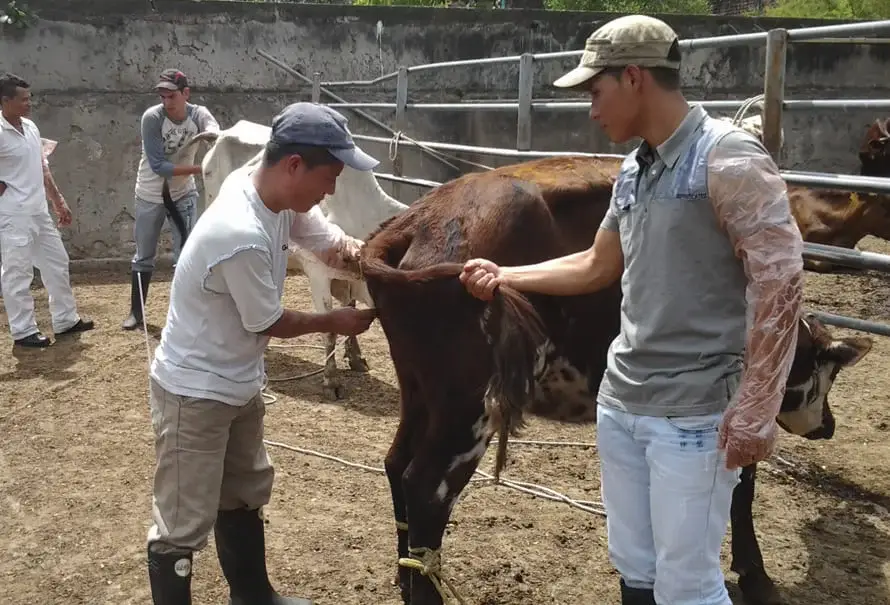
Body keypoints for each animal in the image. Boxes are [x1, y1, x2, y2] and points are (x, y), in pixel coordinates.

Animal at [173, 119, 410, 398]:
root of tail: (220, 133)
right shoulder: (319, 274)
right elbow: (330, 328)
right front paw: (331, 381)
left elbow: (350, 311)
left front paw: (356, 359)